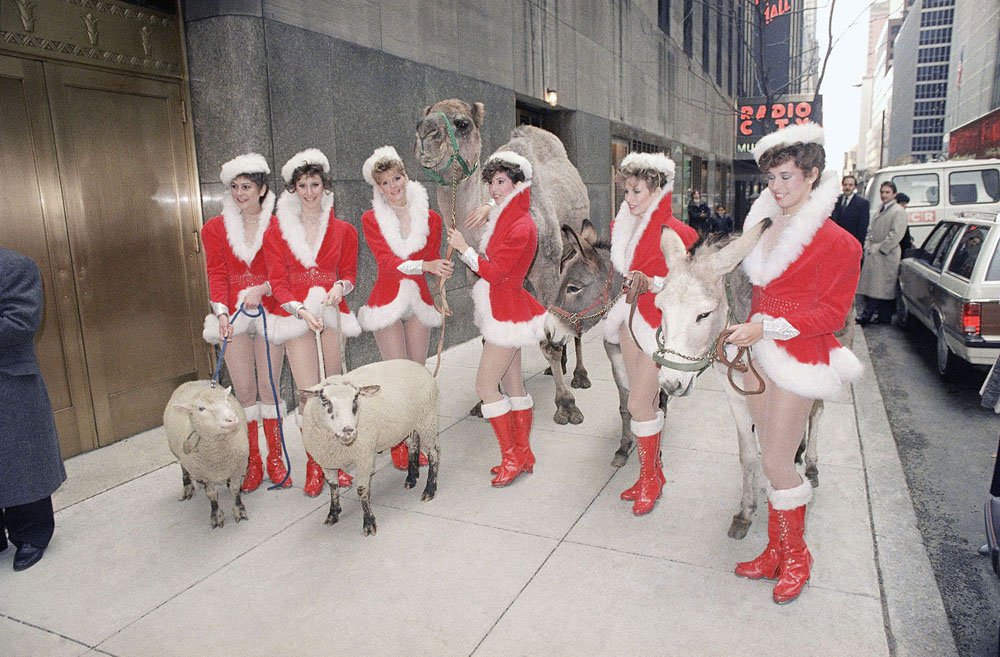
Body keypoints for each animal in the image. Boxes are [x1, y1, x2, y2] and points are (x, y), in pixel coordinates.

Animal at [164, 380, 250, 528]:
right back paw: (187, 485)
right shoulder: (204, 474)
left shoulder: (238, 467)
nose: (231, 419)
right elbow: (211, 494)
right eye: (201, 409)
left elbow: (235, 489)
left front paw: (239, 509)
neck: (218, 456)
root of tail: (192, 381)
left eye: (226, 400)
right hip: (177, 452)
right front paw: (216, 515)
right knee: (183, 467)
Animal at [296, 358, 438, 532]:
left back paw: (429, 490)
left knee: (434, 454)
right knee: (413, 445)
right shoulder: (327, 461)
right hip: (409, 424)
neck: (338, 445)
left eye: (356, 398)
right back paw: (411, 477)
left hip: (427, 420)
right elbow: (333, 486)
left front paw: (369, 523)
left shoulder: (363, 457)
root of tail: (416, 365)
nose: (348, 430)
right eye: (324, 399)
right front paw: (333, 513)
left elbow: (361, 490)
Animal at [414, 99, 592, 422]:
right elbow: (492, 335)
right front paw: (485, 401)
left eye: (462, 123)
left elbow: (548, 340)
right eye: (421, 118)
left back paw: (579, 375)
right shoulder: (478, 277)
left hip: (569, 252)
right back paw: (556, 368)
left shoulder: (545, 269)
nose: (425, 133)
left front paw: (566, 405)